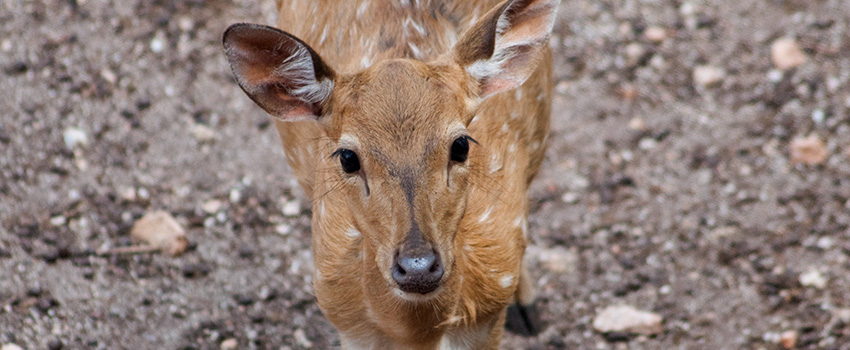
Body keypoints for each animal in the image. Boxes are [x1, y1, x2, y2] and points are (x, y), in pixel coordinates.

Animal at [222, 0, 560, 348]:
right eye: (347, 157)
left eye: (461, 145)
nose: (417, 267)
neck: (417, 333)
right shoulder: (348, 323)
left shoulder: (487, 316)